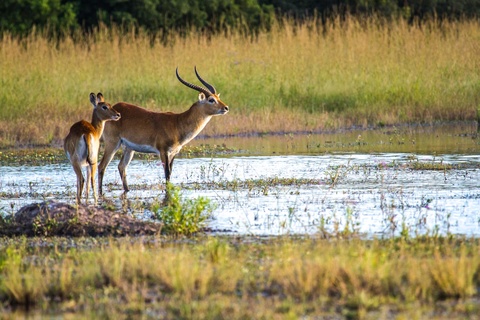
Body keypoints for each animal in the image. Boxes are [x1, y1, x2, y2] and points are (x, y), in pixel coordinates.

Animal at [97, 66, 229, 194]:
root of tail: (114, 109)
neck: (178, 123)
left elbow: (170, 173)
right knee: (101, 166)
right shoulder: (163, 151)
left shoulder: (173, 153)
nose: (226, 107)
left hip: (129, 148)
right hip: (113, 144)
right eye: (211, 99)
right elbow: (167, 174)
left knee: (121, 166)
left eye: (218, 97)